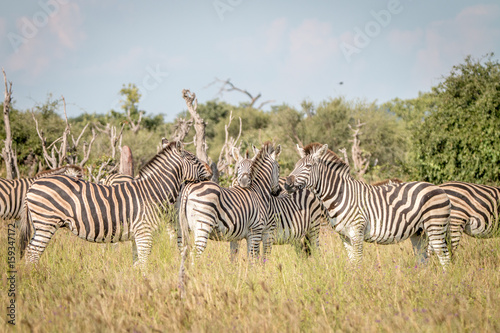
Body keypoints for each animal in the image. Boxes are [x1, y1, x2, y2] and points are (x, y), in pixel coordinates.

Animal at [18, 137, 211, 268]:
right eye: (194, 159)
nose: (210, 170)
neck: (151, 190)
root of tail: (33, 184)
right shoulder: (144, 232)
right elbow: (144, 262)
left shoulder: (136, 235)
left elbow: (136, 263)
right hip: (46, 223)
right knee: (33, 254)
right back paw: (34, 281)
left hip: (39, 224)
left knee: (29, 252)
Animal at [286, 143, 454, 268]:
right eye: (295, 165)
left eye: (308, 166)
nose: (287, 183)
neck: (339, 196)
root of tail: (439, 188)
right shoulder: (344, 236)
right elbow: (352, 262)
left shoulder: (357, 232)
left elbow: (358, 261)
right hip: (419, 233)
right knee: (423, 259)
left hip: (435, 227)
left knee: (444, 257)